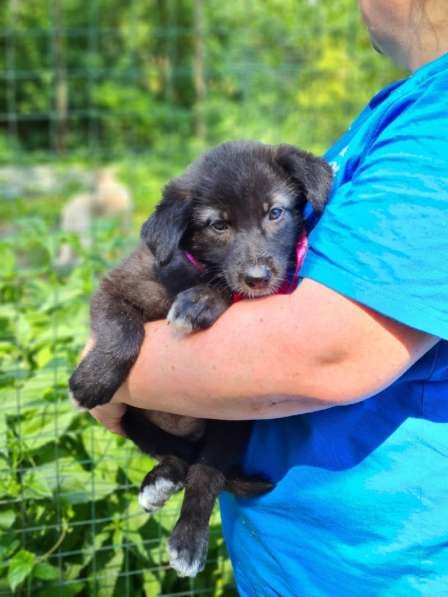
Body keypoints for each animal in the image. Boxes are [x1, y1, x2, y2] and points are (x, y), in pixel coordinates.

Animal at [68, 141, 330, 576]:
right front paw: (93, 380)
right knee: (176, 455)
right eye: (218, 226)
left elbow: (225, 288)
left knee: (204, 475)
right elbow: (122, 330)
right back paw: (161, 480)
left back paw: (188, 539)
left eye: (275, 213)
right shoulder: (116, 288)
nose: (258, 277)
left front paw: (202, 301)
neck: (193, 272)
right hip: (135, 419)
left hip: (231, 424)